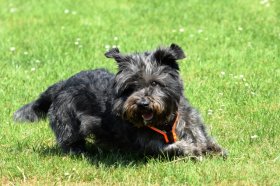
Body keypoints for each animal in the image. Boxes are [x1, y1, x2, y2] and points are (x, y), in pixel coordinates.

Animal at [13, 44, 228, 158]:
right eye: (130, 87)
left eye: (155, 83)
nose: (143, 104)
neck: (165, 121)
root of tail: (63, 83)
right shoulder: (147, 143)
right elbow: (173, 147)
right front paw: (193, 149)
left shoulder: (190, 120)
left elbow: (202, 136)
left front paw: (213, 148)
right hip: (67, 123)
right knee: (69, 140)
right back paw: (80, 151)